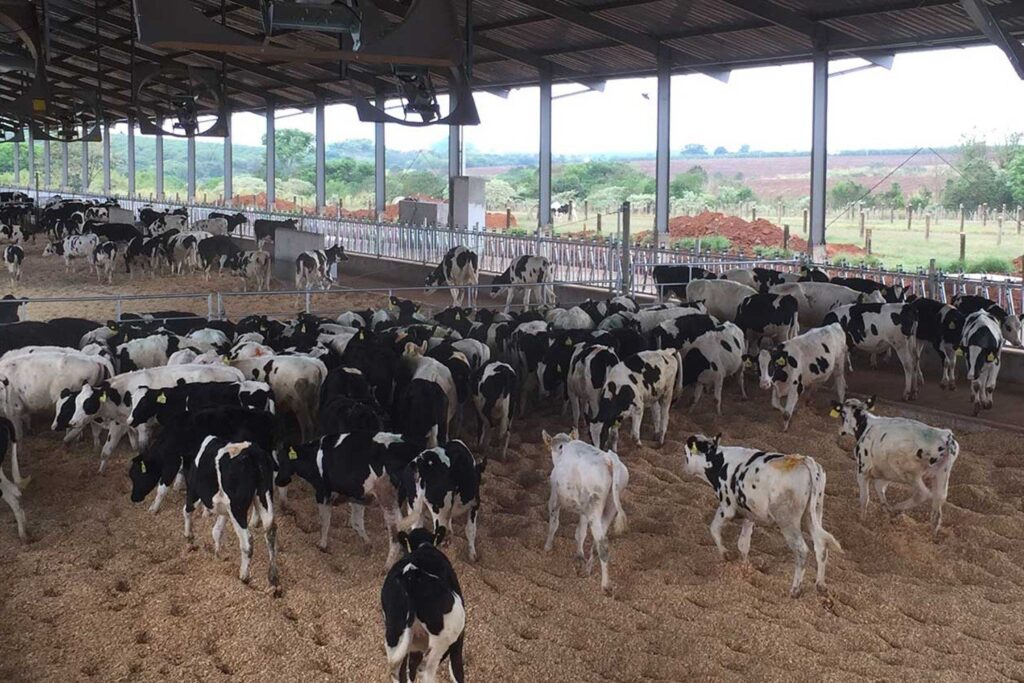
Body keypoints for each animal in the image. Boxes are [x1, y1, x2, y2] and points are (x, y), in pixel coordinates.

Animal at [382, 528, 466, 683]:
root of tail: (409, 578)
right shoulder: (458, 641)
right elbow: (457, 671)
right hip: (440, 643)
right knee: (425, 671)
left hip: (394, 634)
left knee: (398, 671)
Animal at [831, 395, 958, 540]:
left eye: (842, 413)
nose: (840, 431)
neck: (865, 427)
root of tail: (946, 438)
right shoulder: (885, 473)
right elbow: (879, 488)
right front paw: (886, 510)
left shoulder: (862, 470)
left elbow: (864, 498)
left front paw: (862, 520)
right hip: (941, 475)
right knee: (938, 504)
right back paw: (933, 535)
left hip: (907, 471)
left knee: (923, 493)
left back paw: (897, 508)